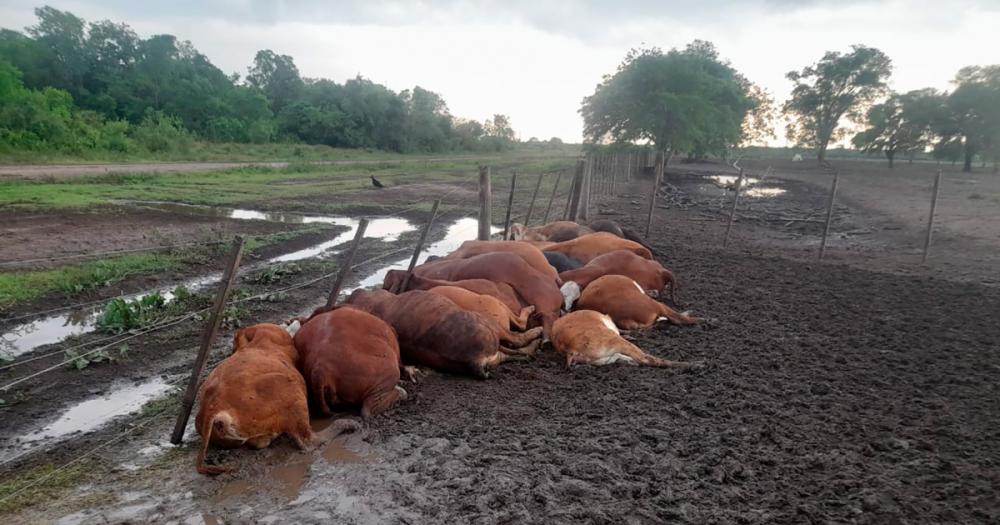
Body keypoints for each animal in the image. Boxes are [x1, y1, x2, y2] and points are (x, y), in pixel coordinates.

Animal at [344, 288, 540, 378]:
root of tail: (474, 360)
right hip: (490, 324)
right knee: (518, 337)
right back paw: (535, 331)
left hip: (494, 354)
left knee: (517, 351)